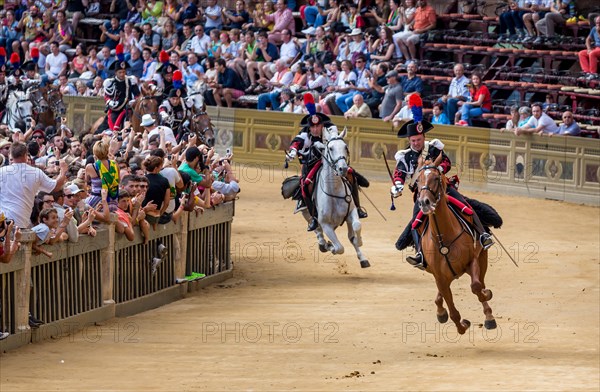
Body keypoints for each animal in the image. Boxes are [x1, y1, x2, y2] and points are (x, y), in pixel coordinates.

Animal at [304, 127, 370, 268]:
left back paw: (362, 258)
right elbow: (339, 248)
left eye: (345, 147)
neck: (333, 191)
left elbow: (357, 226)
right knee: (318, 230)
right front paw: (330, 247)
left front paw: (360, 241)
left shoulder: (351, 212)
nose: (343, 168)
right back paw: (323, 243)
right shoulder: (326, 224)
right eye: (330, 148)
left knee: (351, 235)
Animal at [414, 155, 494, 336]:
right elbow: (452, 311)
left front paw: (486, 296)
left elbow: (476, 287)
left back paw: (489, 316)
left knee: (481, 283)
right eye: (417, 180)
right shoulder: (440, 277)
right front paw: (462, 325)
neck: (444, 238)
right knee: (441, 297)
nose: (424, 202)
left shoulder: (472, 261)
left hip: (482, 259)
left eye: (436, 178)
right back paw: (441, 312)